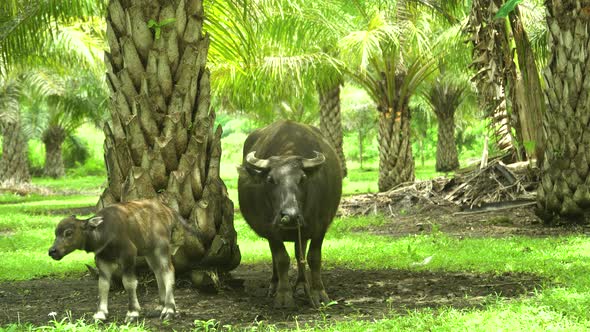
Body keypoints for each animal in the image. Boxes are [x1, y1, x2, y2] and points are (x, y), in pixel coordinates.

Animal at [48, 198, 197, 320]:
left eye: (68, 233)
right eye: (55, 233)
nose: (52, 251)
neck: (104, 233)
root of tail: (168, 210)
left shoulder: (128, 255)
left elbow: (129, 283)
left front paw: (133, 312)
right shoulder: (102, 261)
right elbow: (103, 285)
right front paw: (100, 313)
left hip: (161, 248)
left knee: (168, 271)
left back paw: (169, 310)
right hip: (150, 252)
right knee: (158, 272)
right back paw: (160, 307)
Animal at [238, 120, 344, 308]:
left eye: (302, 179)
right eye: (270, 179)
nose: (291, 216)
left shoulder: (320, 226)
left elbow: (314, 258)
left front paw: (318, 293)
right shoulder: (271, 230)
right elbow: (281, 259)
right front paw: (283, 294)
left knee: (299, 253)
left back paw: (302, 285)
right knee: (276, 257)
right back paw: (274, 286)